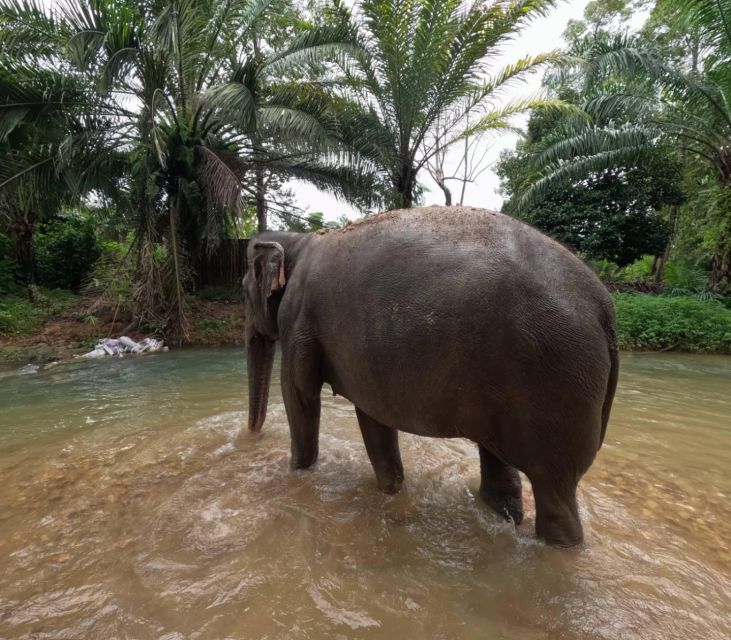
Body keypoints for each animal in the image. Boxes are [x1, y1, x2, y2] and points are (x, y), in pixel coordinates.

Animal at [242, 206, 619, 548]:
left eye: (243, 289)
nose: (251, 438)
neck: (298, 241)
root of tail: (605, 307)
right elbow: (373, 418)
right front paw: (391, 492)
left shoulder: (297, 320)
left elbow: (300, 396)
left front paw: (297, 475)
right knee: (500, 465)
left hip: (554, 381)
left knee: (554, 492)